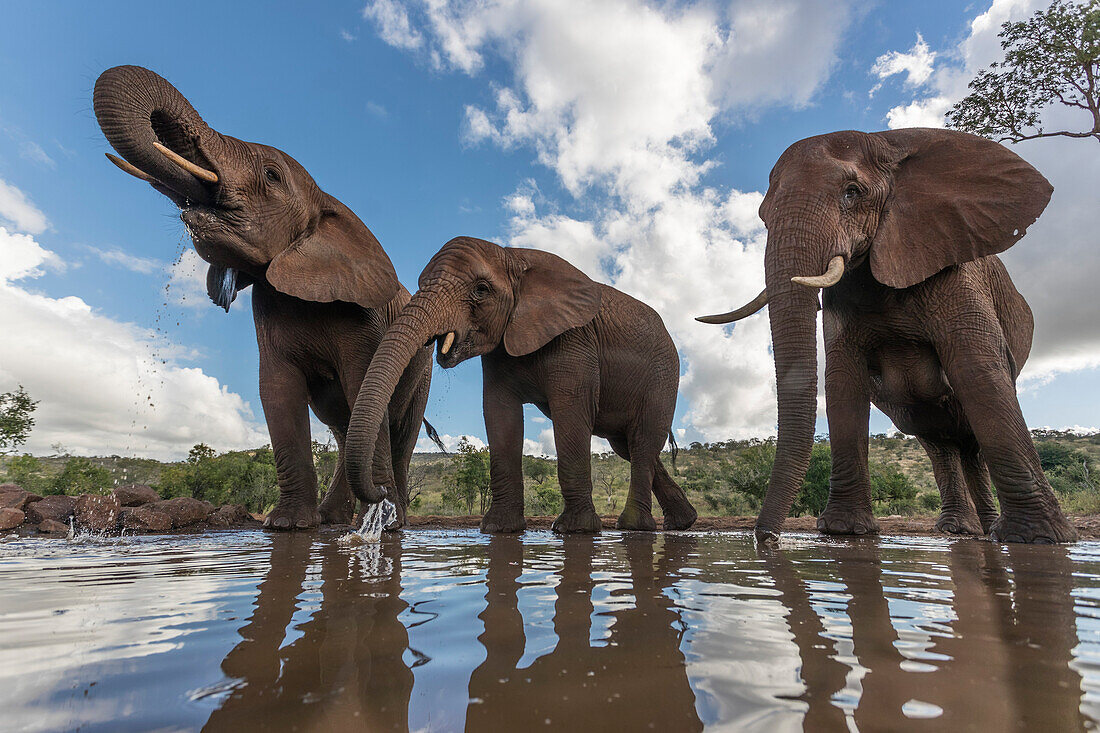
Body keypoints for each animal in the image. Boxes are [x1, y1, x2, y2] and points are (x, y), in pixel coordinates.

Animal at [92, 65, 437, 528]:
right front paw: (288, 525)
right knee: (343, 428)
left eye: (272, 176)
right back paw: (334, 519)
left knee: (400, 432)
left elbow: (359, 380)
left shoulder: (363, 318)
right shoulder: (268, 306)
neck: (326, 202)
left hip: (423, 372)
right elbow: (277, 389)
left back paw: (392, 520)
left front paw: (378, 522)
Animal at [343, 238, 695, 530]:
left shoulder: (574, 340)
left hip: (663, 378)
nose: (381, 490)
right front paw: (499, 528)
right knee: (628, 446)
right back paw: (681, 523)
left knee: (642, 440)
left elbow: (570, 412)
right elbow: (499, 414)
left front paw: (575, 529)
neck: (513, 256)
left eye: (481, 290)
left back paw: (635, 527)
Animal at [699, 125, 1078, 541]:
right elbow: (842, 382)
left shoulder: (955, 267)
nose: (766, 537)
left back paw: (985, 531)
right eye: (763, 216)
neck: (888, 143)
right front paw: (845, 530)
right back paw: (960, 530)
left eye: (852, 192)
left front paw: (1039, 537)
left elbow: (977, 368)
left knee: (970, 435)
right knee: (938, 441)